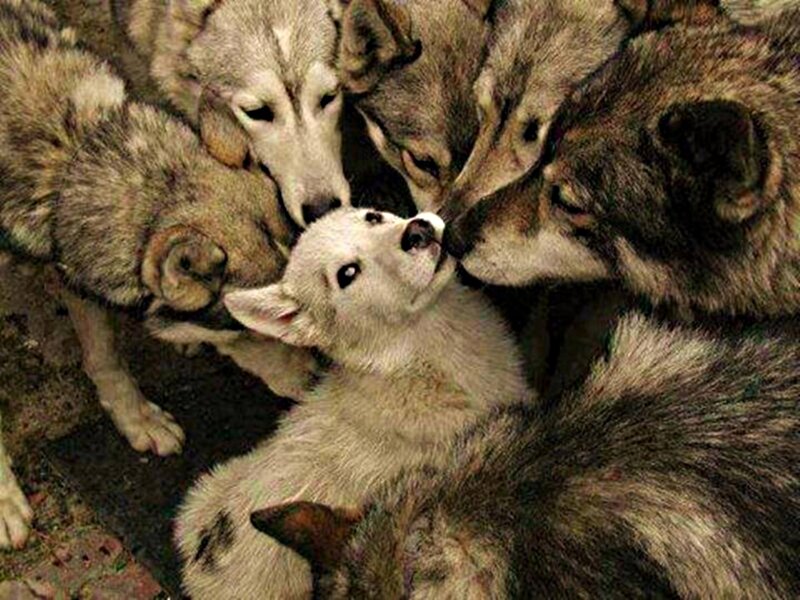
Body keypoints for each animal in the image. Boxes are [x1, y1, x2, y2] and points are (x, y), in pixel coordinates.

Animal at [0, 0, 308, 550]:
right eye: (251, 327)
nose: (317, 379)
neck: (72, 154)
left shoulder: (72, 261)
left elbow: (105, 357)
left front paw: (137, 420)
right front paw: (4, 504)